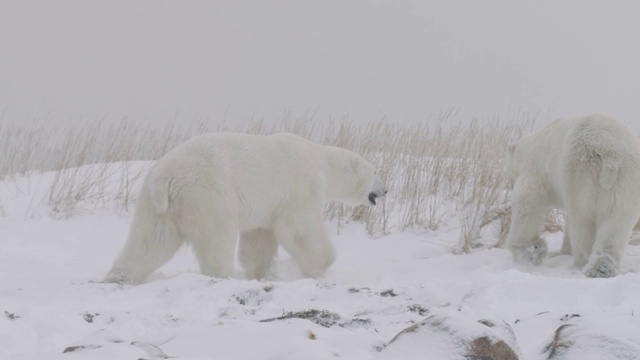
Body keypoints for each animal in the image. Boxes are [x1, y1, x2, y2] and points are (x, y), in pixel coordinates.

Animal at [105, 132, 384, 284]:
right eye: (376, 172)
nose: (385, 191)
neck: (320, 158)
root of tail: (167, 178)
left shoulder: (267, 204)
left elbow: (259, 237)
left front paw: (261, 273)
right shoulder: (301, 186)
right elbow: (299, 228)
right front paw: (321, 265)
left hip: (157, 204)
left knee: (150, 240)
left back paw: (119, 277)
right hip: (209, 193)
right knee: (217, 238)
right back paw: (225, 275)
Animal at [504, 114, 640, 278]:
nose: (511, 185)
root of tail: (611, 157)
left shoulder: (538, 170)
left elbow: (527, 201)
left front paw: (532, 251)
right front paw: (561, 252)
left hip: (579, 174)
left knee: (582, 221)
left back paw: (580, 264)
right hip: (626, 182)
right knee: (616, 222)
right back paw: (601, 267)